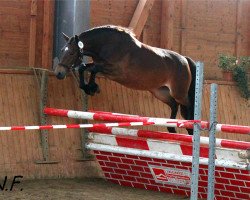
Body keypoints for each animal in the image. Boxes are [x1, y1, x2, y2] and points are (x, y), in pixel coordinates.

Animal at [53, 24, 196, 134]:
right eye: (62, 50)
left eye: (71, 53)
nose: (59, 73)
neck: (107, 45)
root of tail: (184, 59)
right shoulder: (100, 65)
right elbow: (83, 68)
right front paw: (89, 88)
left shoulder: (114, 71)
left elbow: (92, 69)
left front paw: (92, 87)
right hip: (160, 92)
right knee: (174, 105)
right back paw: (171, 128)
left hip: (178, 92)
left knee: (188, 105)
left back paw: (190, 127)